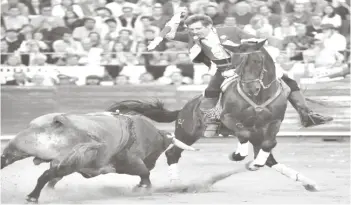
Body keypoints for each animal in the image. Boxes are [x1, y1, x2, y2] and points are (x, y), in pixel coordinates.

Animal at [108, 40, 320, 192]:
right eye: (236, 63)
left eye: (257, 61)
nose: (250, 88)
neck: (258, 97)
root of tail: (184, 108)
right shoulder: (229, 119)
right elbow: (243, 135)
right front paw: (237, 155)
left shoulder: (274, 123)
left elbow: (269, 144)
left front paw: (254, 162)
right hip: (186, 133)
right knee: (172, 153)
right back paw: (175, 183)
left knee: (269, 159)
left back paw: (307, 182)